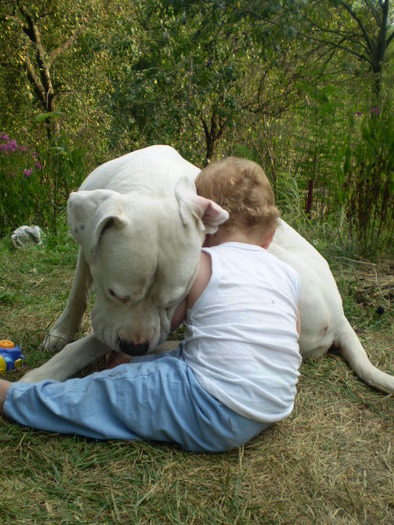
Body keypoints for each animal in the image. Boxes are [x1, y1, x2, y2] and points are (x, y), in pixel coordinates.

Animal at [22, 144, 394, 392]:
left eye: (172, 301)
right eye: (117, 294)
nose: (136, 347)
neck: (150, 183)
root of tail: (341, 316)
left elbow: (94, 340)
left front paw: (45, 371)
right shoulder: (88, 247)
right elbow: (78, 291)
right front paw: (62, 330)